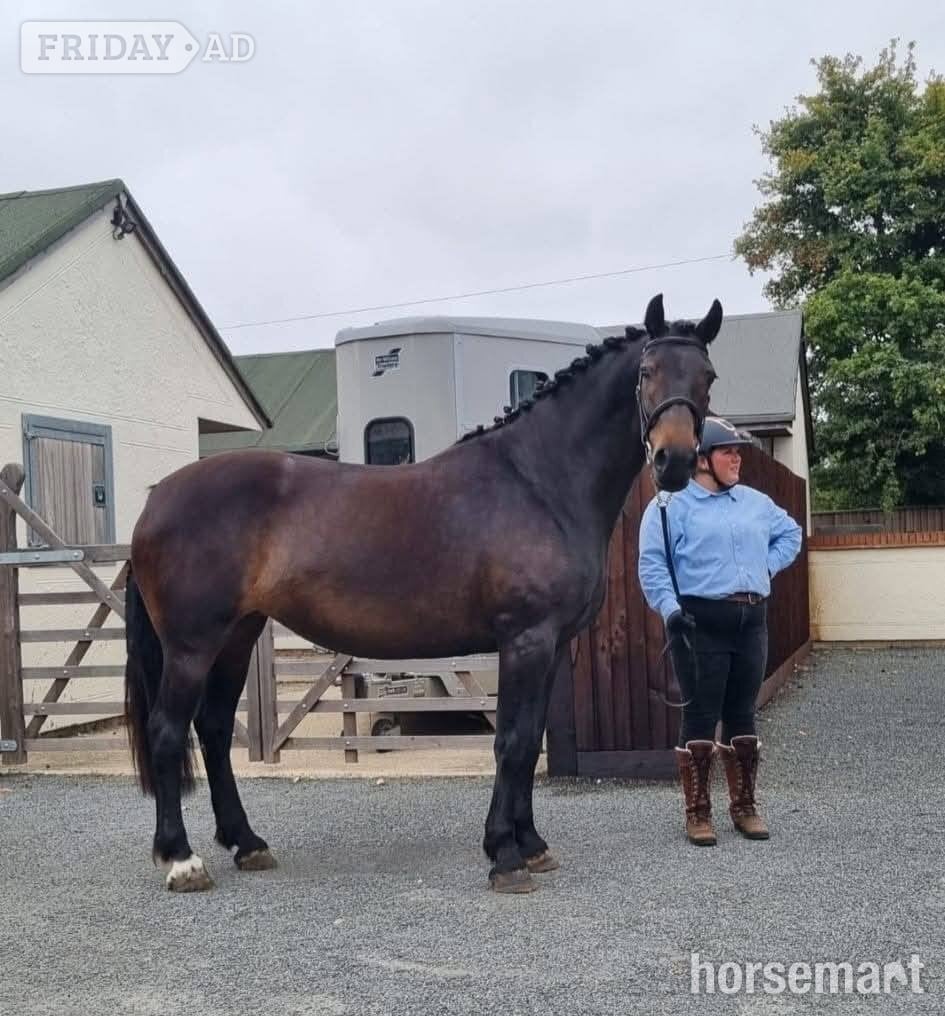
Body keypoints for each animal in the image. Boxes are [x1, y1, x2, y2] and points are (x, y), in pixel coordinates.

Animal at [124, 293, 722, 893]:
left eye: (707, 376)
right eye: (646, 372)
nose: (673, 461)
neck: (538, 483)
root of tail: (155, 501)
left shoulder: (552, 647)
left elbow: (529, 741)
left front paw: (531, 845)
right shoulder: (525, 640)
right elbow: (510, 742)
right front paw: (505, 855)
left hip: (236, 637)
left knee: (214, 728)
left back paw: (246, 843)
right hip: (192, 646)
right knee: (168, 731)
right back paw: (182, 859)